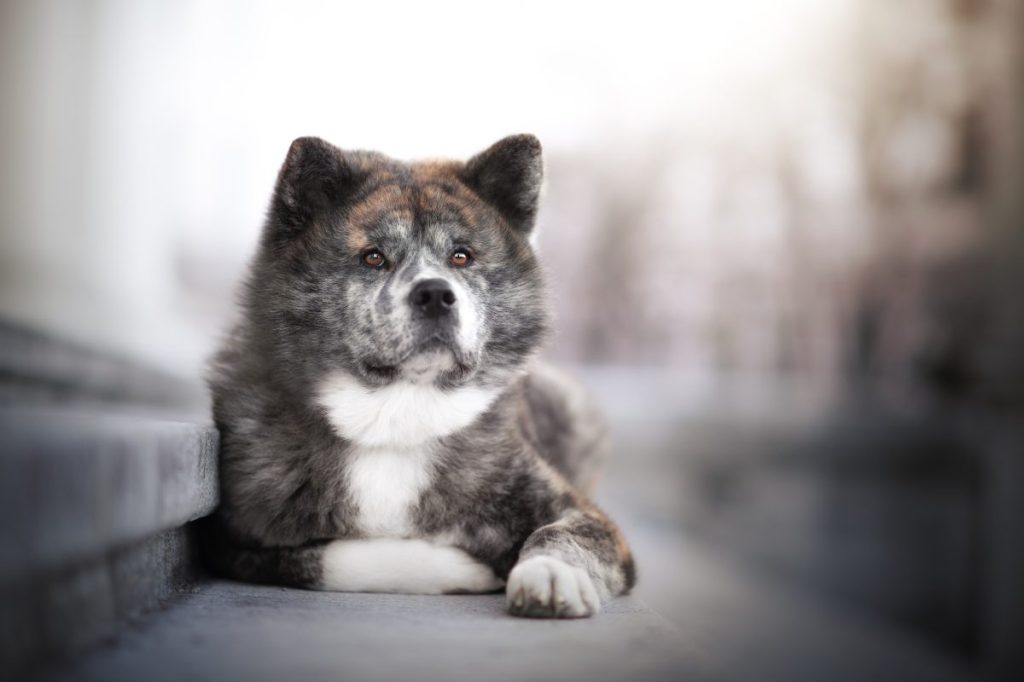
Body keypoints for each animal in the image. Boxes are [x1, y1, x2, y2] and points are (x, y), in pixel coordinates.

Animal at [204, 133, 634, 614]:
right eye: (373, 258)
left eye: (461, 256)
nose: (435, 295)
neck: (397, 416)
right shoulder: (229, 543)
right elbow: (324, 558)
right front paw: (465, 571)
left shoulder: (581, 514)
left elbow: (564, 531)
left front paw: (552, 573)